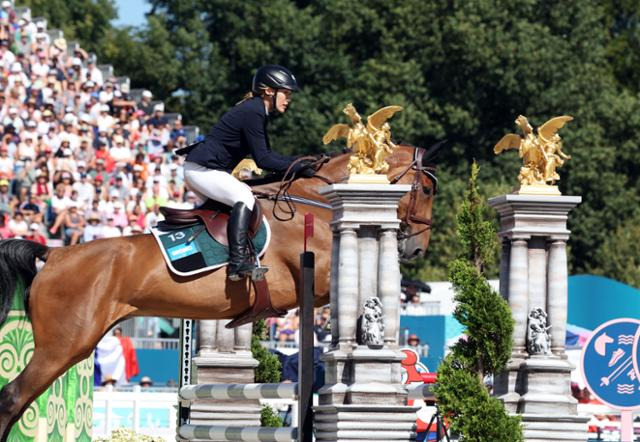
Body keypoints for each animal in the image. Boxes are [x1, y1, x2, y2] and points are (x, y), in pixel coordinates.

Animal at [0, 144, 438, 438]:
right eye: (429, 190)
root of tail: (55, 254)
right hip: (64, 345)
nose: (417, 249)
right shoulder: (317, 282)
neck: (312, 202)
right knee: (12, 398)